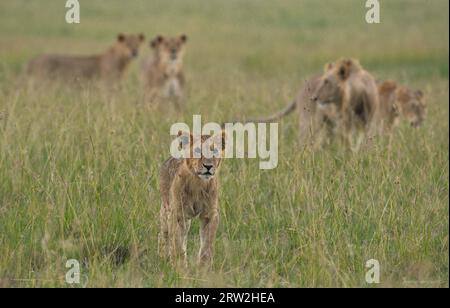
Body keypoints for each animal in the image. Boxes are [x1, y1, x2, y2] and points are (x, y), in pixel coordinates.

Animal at [160, 130, 227, 268]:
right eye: (197, 150)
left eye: (214, 151)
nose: (208, 166)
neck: (198, 183)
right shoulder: (177, 214)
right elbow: (177, 243)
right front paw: (179, 268)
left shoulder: (210, 214)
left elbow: (207, 244)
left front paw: (203, 268)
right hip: (166, 209)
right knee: (164, 235)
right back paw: (163, 258)